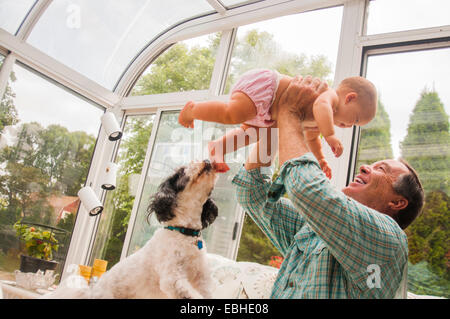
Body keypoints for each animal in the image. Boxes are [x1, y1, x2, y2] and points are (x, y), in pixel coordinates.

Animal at [43, 160, 219, 300]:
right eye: (182, 171)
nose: (206, 160)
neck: (184, 232)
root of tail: (91, 292)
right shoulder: (172, 278)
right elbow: (191, 293)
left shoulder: (202, 279)